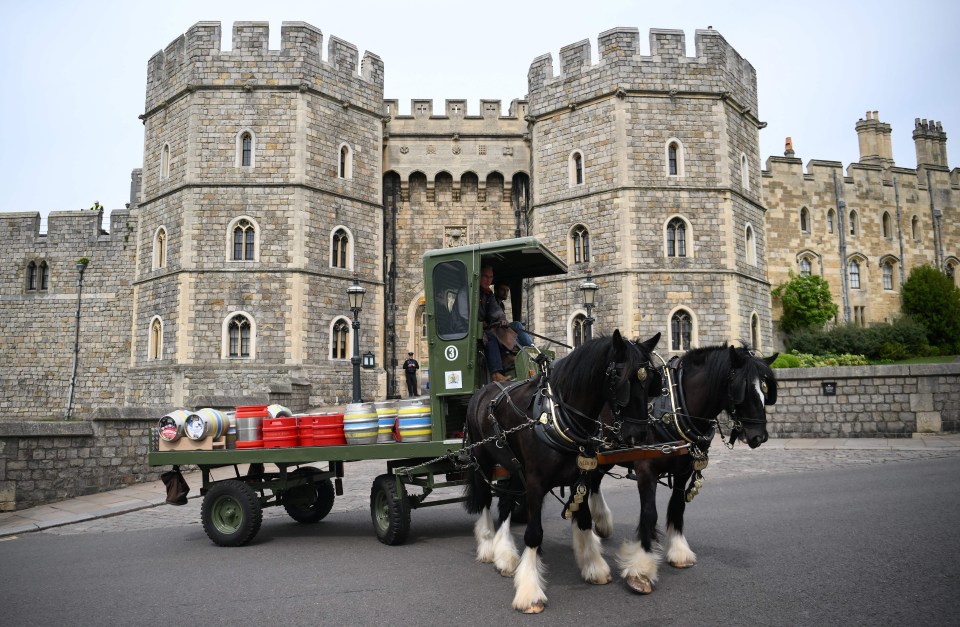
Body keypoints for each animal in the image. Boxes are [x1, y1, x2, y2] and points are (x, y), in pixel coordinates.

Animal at [464, 332, 660, 616]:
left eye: (651, 382)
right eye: (619, 379)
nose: (639, 435)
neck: (560, 418)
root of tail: (482, 390)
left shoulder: (582, 477)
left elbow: (584, 520)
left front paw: (593, 566)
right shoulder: (535, 481)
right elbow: (534, 533)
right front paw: (529, 592)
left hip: (512, 466)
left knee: (506, 503)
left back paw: (506, 555)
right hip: (483, 461)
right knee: (486, 501)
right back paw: (489, 545)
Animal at [592, 346, 780, 596]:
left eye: (766, 390)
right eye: (743, 389)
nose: (760, 436)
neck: (673, 407)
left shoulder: (684, 471)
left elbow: (677, 507)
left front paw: (678, 551)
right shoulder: (645, 470)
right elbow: (649, 513)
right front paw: (641, 569)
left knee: (593, 483)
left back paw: (601, 523)